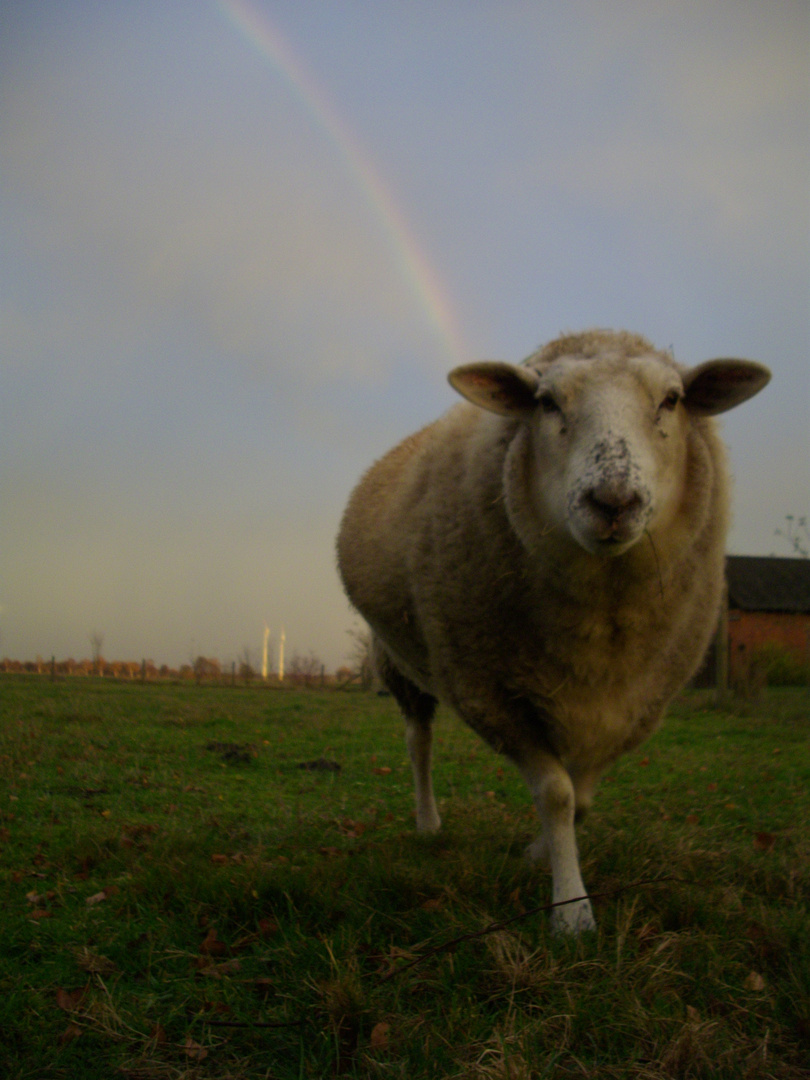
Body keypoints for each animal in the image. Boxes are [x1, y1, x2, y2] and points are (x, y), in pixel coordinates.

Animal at [336, 324, 773, 933]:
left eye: (672, 399)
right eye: (545, 402)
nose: (613, 501)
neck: (602, 620)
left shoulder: (634, 704)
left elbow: (581, 801)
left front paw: (539, 854)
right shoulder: (497, 698)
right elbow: (558, 796)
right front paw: (571, 910)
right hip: (400, 662)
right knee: (418, 741)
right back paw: (428, 822)